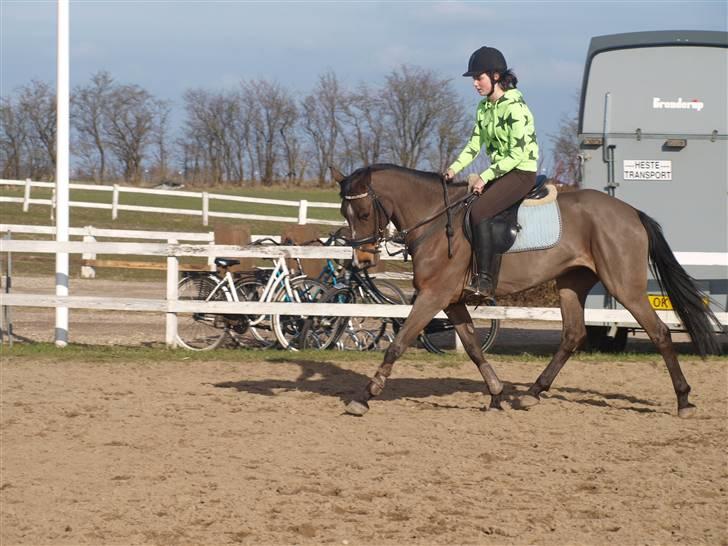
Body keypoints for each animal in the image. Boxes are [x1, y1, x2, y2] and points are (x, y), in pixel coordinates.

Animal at [332, 162, 724, 416]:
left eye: (363, 213)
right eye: (344, 213)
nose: (362, 260)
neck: (436, 220)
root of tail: (631, 212)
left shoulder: (434, 296)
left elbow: (397, 344)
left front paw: (365, 396)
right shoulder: (452, 300)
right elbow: (474, 348)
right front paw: (496, 396)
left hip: (624, 286)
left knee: (659, 332)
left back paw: (684, 400)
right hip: (571, 283)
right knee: (572, 335)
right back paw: (532, 394)